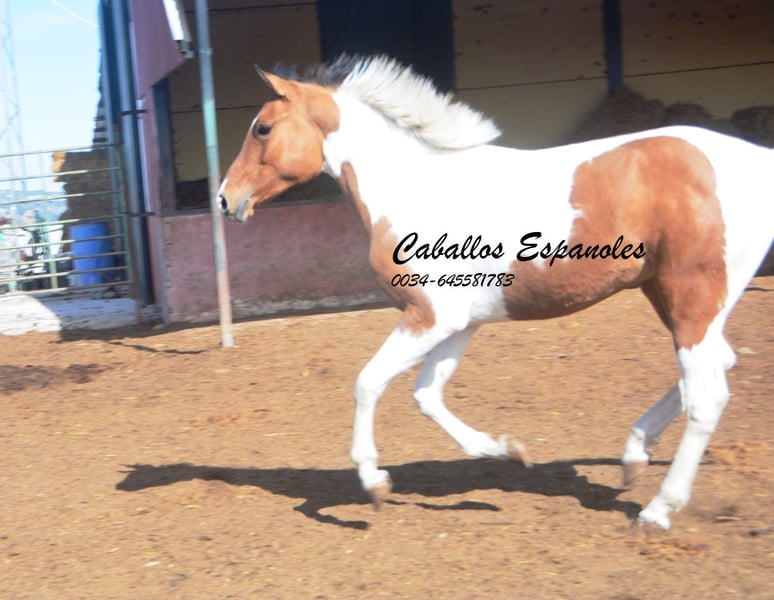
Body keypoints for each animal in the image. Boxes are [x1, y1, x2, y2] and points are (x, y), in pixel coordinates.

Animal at [218, 55, 774, 529]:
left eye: (262, 128)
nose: (226, 199)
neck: (418, 186)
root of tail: (756, 159)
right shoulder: (459, 323)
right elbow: (427, 395)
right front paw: (507, 450)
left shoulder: (430, 316)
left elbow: (369, 382)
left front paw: (373, 483)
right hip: (669, 295)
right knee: (716, 366)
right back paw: (634, 456)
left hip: (692, 296)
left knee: (707, 394)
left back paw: (657, 510)